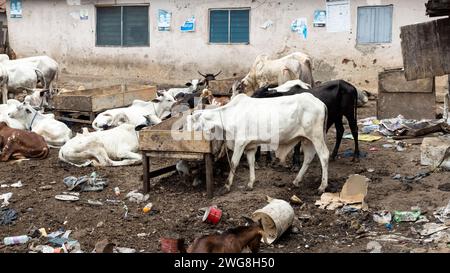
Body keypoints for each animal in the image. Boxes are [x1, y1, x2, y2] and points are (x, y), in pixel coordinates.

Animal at [186, 93, 330, 193]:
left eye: (191, 123)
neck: (229, 116)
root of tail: (320, 102)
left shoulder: (240, 142)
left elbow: (233, 162)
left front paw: (227, 186)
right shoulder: (250, 146)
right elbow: (251, 162)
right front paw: (250, 184)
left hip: (316, 137)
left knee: (324, 156)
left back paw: (322, 187)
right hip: (306, 139)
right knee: (308, 157)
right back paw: (296, 181)